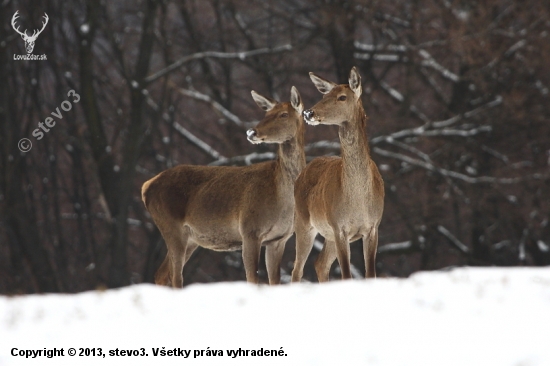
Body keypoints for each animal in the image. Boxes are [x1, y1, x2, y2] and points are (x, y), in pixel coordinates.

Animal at [142, 86, 306, 286]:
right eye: (266, 113)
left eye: (283, 114)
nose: (252, 132)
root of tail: (146, 187)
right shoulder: (250, 230)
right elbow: (252, 279)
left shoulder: (279, 239)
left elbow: (274, 281)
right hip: (170, 225)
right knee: (175, 276)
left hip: (190, 238)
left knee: (162, 273)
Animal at [292, 67, 386, 282]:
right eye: (324, 95)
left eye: (342, 97)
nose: (309, 112)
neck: (358, 200)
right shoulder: (339, 227)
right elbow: (346, 275)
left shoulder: (373, 226)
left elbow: (370, 275)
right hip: (303, 221)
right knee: (297, 269)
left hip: (327, 234)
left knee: (320, 264)